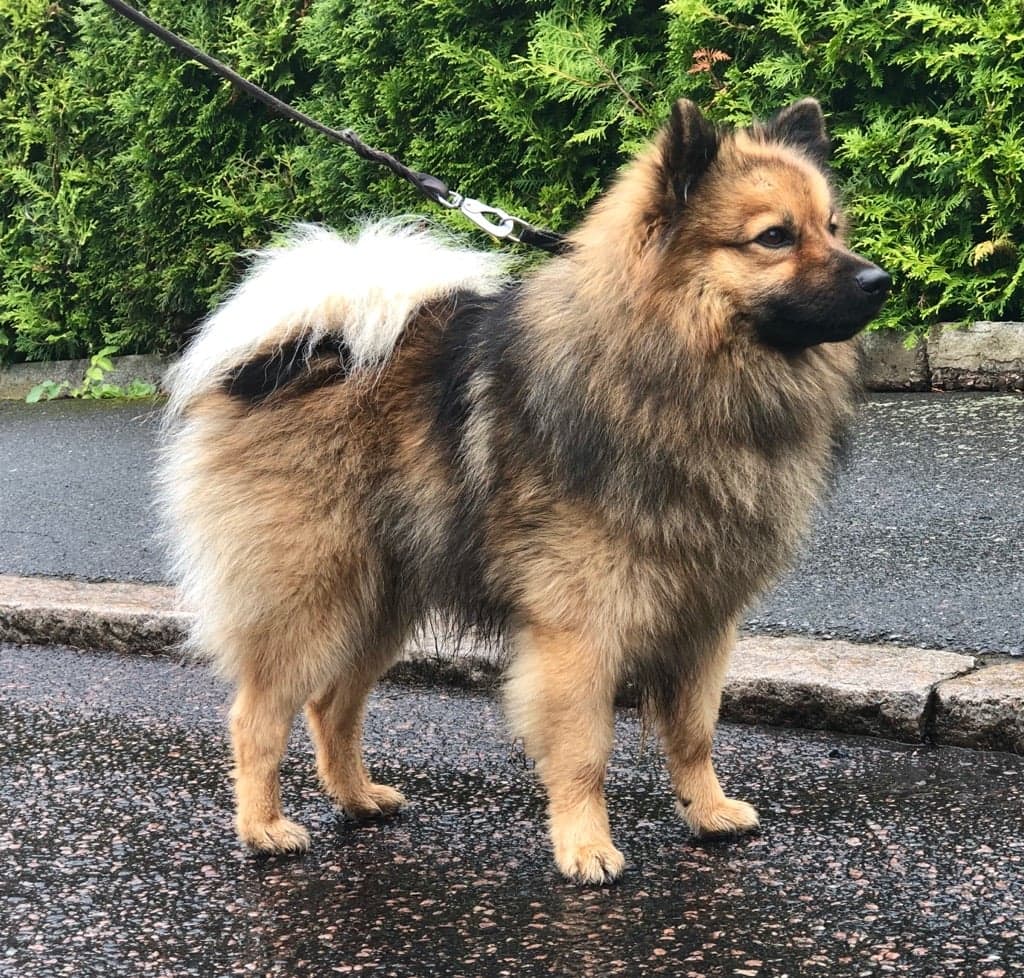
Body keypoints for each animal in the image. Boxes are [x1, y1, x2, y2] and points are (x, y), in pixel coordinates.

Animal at [159, 95, 888, 884]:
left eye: (832, 228)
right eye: (775, 237)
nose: (879, 279)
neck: (676, 372)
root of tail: (298, 354)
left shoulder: (703, 618)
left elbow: (694, 731)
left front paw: (708, 811)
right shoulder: (580, 628)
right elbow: (584, 750)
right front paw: (586, 846)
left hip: (381, 600)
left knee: (332, 705)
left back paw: (358, 798)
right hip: (310, 595)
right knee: (259, 716)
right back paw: (264, 827)